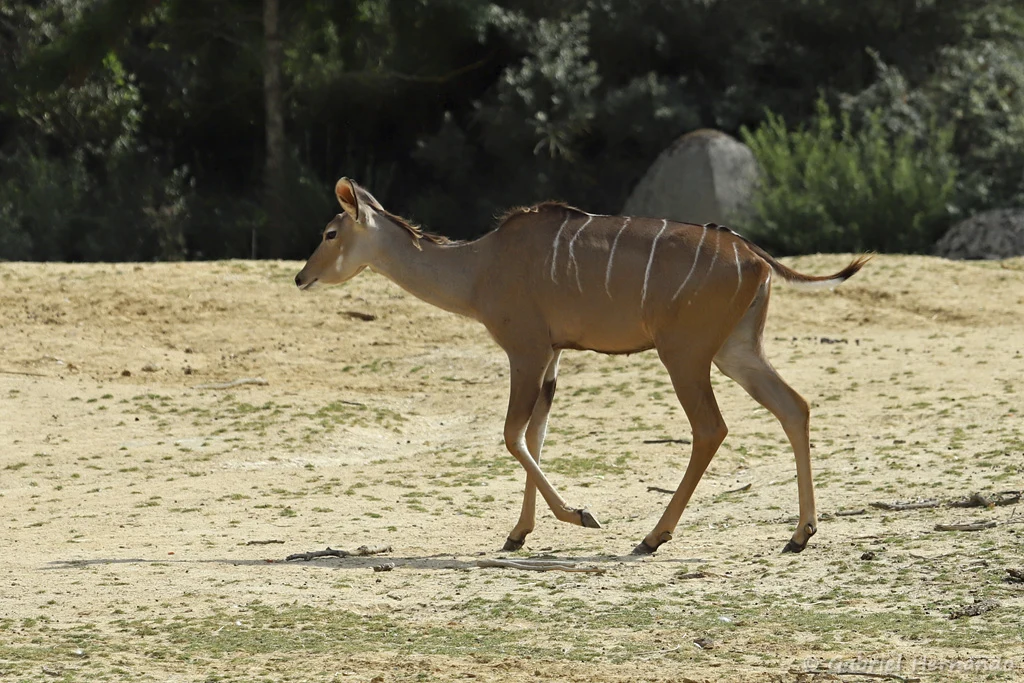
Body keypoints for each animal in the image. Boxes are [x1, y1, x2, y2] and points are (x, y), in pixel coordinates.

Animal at [295, 178, 869, 554]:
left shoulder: (525, 350)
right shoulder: (551, 357)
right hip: (736, 351)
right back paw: (800, 534)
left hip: (684, 355)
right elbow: (536, 435)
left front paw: (579, 515)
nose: (301, 277)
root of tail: (753, 256)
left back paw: (652, 537)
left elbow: (512, 435)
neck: (478, 268)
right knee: (795, 406)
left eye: (329, 233)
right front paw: (518, 534)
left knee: (711, 428)